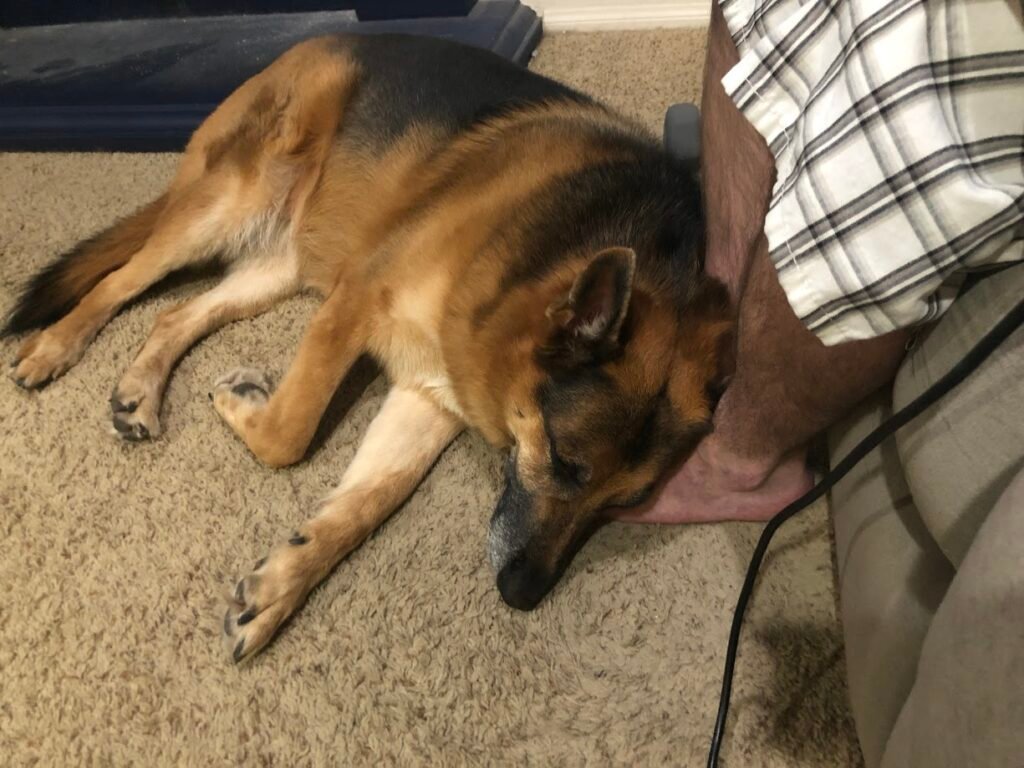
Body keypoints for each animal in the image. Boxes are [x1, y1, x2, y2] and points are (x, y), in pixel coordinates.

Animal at [4, 34, 733, 663]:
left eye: (622, 505)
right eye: (564, 461)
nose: (520, 595)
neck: (541, 259)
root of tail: (309, 44)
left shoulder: (428, 394)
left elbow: (366, 502)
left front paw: (281, 586)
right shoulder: (356, 303)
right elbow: (290, 434)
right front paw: (243, 407)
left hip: (281, 263)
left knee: (177, 313)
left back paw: (140, 387)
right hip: (230, 207)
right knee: (121, 282)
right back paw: (54, 346)